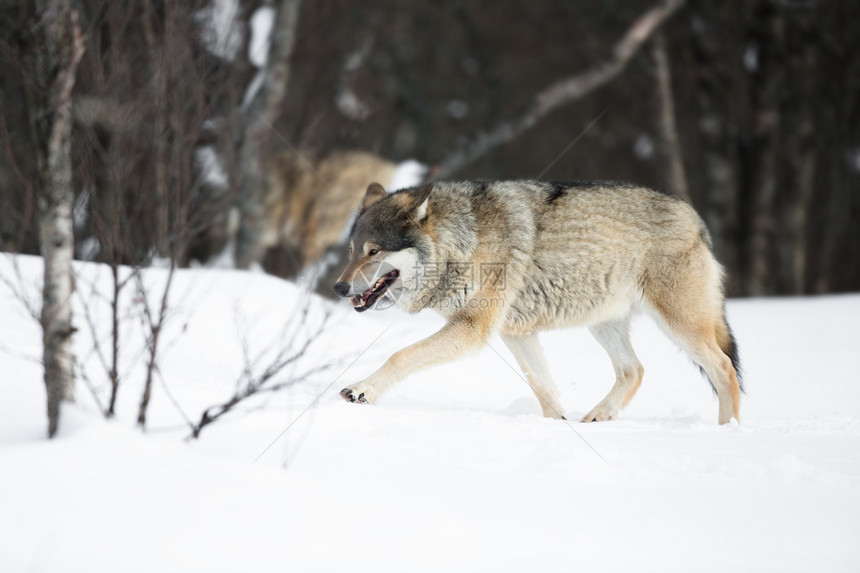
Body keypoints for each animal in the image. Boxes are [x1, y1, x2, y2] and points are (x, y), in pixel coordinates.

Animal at [332, 181, 744, 422]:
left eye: (373, 252)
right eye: (352, 251)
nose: (338, 287)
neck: (462, 243)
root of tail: (694, 216)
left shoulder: (472, 330)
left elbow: (400, 355)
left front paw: (362, 389)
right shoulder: (515, 332)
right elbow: (541, 385)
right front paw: (557, 425)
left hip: (680, 326)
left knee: (724, 369)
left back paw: (727, 432)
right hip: (603, 324)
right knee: (635, 370)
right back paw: (597, 417)